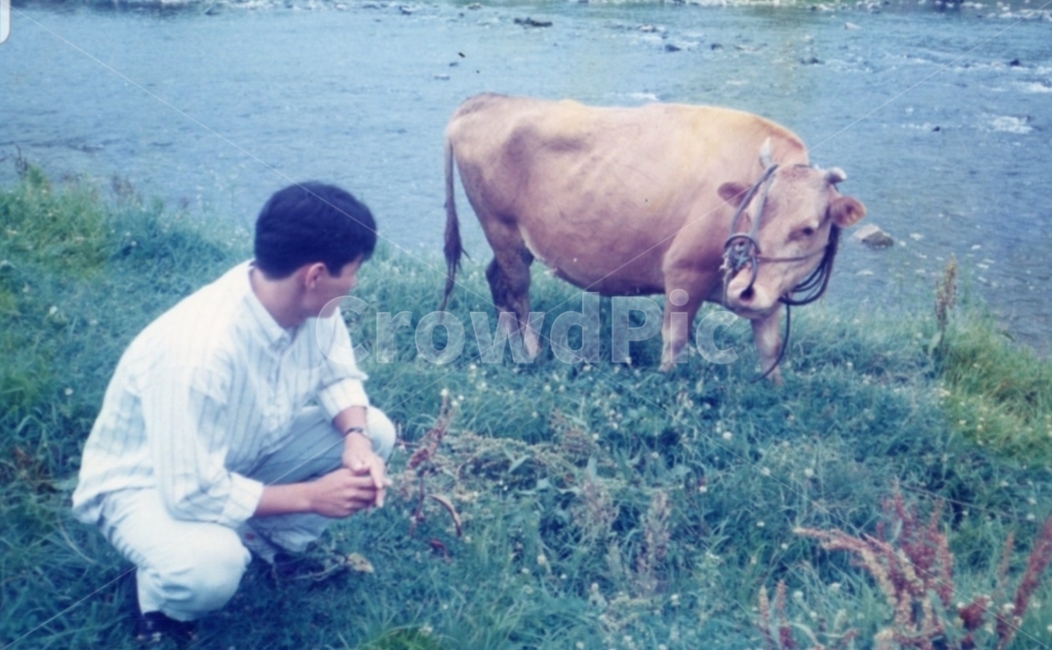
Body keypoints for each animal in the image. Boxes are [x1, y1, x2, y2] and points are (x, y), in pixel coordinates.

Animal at [439, 93, 866, 382]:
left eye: (808, 228)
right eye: (749, 212)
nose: (742, 291)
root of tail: (486, 100)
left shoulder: (770, 291)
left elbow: (770, 347)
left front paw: (772, 391)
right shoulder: (683, 272)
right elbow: (674, 339)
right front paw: (666, 384)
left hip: (514, 240)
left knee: (496, 280)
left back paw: (505, 346)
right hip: (501, 228)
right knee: (516, 291)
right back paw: (529, 351)